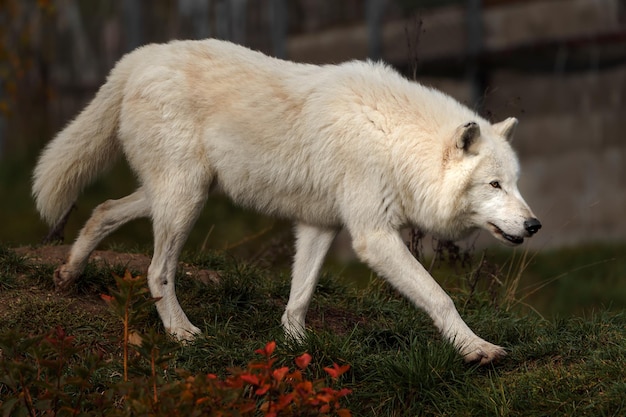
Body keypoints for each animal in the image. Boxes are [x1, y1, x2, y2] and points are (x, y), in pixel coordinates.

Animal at [34, 39, 540, 364]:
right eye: (494, 185)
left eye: (516, 184)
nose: (535, 226)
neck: (394, 138)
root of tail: (138, 57)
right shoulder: (373, 237)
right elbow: (440, 297)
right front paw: (477, 349)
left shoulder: (320, 225)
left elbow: (300, 295)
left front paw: (296, 345)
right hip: (185, 200)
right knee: (156, 271)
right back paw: (181, 333)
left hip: (177, 193)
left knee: (102, 210)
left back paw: (68, 274)